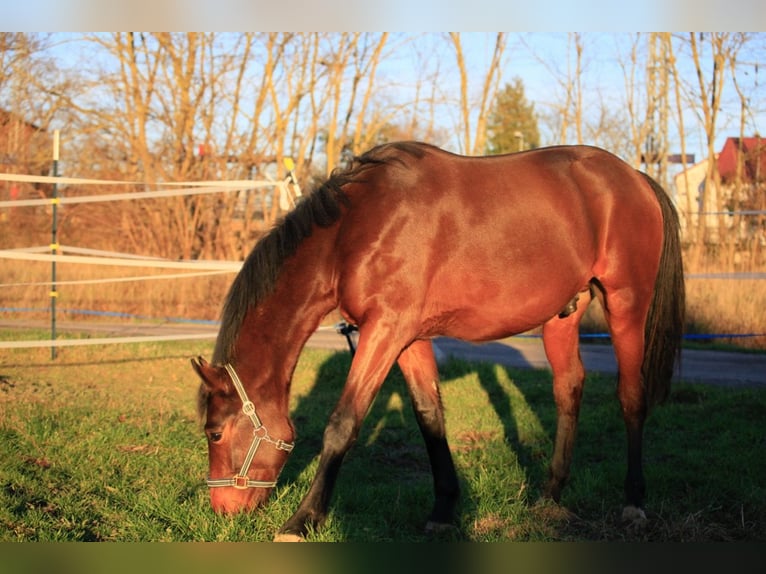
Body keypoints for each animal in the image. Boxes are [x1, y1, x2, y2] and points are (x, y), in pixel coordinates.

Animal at [190, 142, 684, 544]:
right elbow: (430, 418)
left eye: (215, 433)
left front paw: (302, 520)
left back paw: (633, 503)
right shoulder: (408, 339)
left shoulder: (384, 330)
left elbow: (342, 424)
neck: (356, 228)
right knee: (568, 391)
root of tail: (636, 178)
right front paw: (444, 510)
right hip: (563, 315)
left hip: (626, 303)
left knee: (631, 397)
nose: (222, 511)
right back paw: (550, 494)